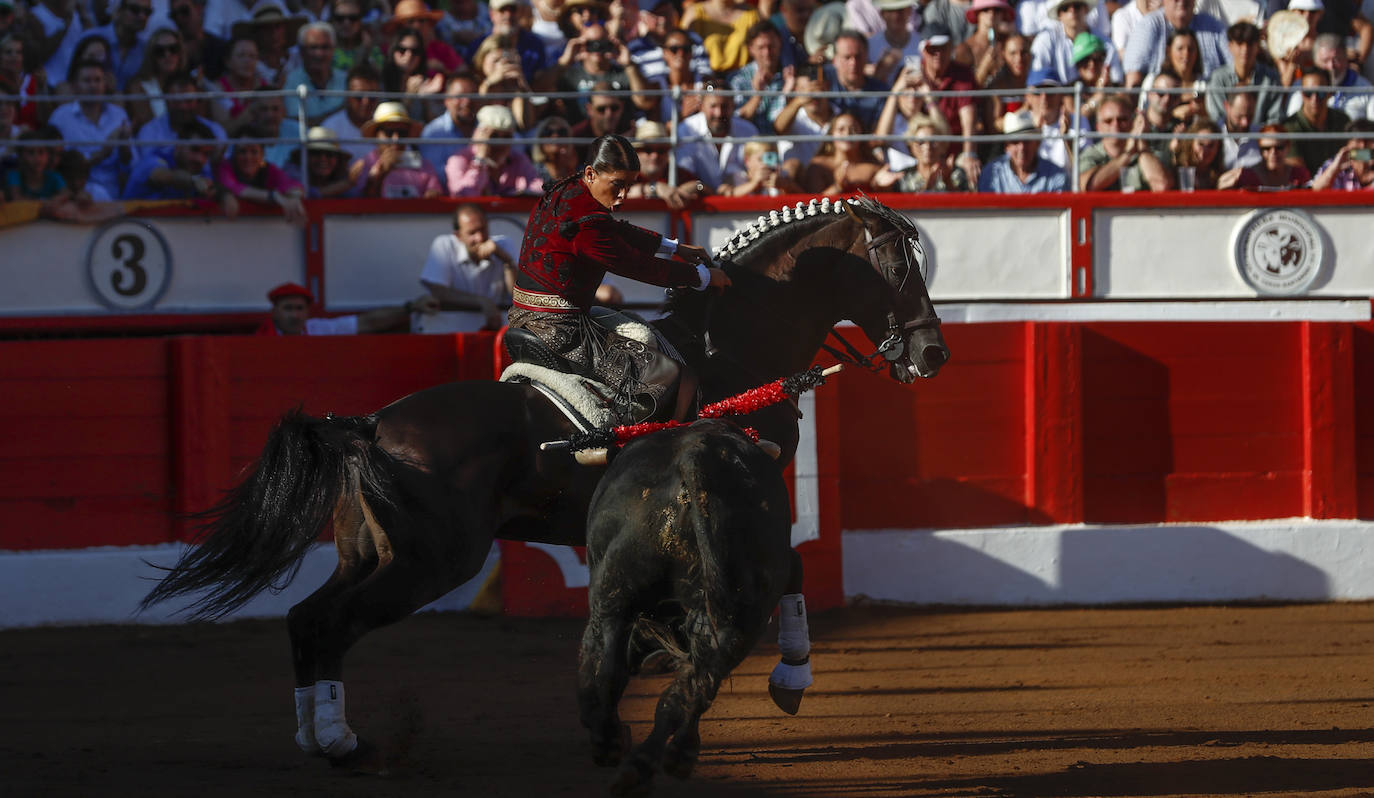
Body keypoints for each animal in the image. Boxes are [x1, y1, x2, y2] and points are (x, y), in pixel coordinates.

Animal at [144, 195, 950, 769]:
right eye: (896, 267)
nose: (934, 354)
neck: (732, 355)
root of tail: (370, 425)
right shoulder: (750, 510)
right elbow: (793, 571)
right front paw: (787, 682)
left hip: (366, 555)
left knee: (309, 621)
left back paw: (322, 737)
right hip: (431, 562)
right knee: (332, 623)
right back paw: (345, 744)